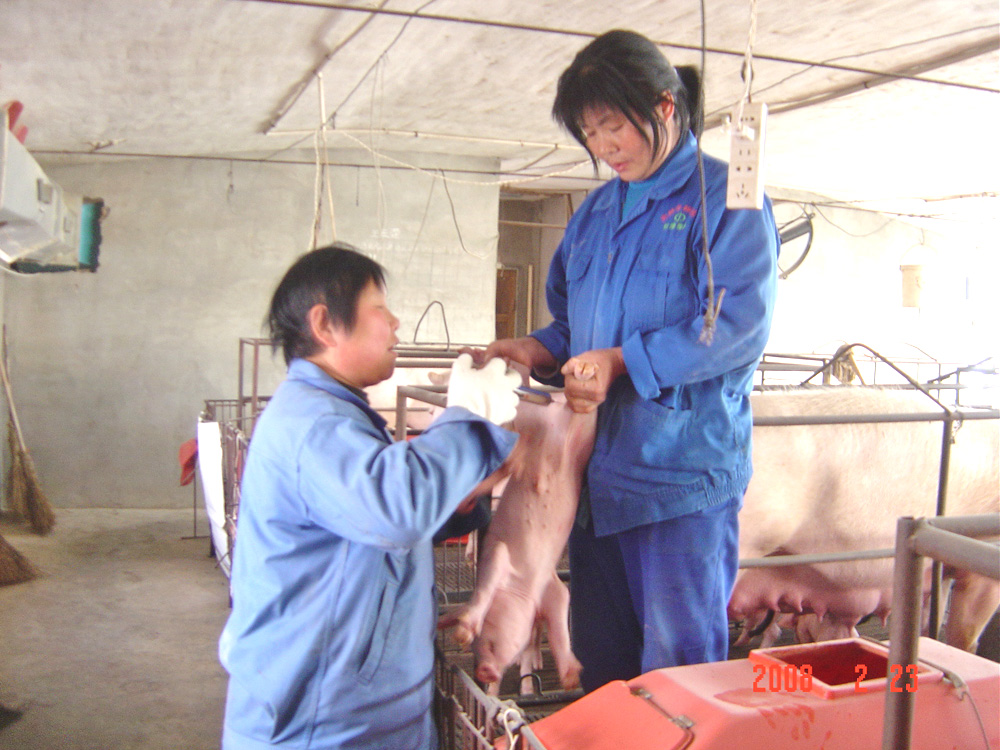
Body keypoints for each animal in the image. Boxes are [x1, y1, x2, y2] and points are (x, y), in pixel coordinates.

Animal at [438, 392, 597, 691]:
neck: (525, 587)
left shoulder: (506, 561)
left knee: (510, 454)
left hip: (530, 419)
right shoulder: (548, 588)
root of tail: (559, 407)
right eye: (475, 650)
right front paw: (572, 678)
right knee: (513, 457)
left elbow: (558, 618)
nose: (485, 673)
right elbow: (559, 616)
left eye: (486, 642)